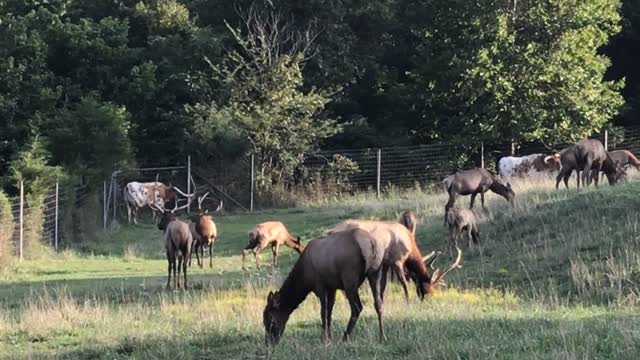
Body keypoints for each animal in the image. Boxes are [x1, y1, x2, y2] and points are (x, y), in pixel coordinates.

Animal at [262, 229, 462, 344]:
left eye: (268, 318)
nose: (270, 341)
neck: (304, 277)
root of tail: (371, 244)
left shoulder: (320, 285)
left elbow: (324, 312)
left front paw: (325, 339)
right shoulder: (332, 287)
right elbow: (329, 312)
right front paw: (328, 336)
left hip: (349, 277)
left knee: (357, 307)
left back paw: (346, 337)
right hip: (376, 273)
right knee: (379, 304)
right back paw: (382, 336)